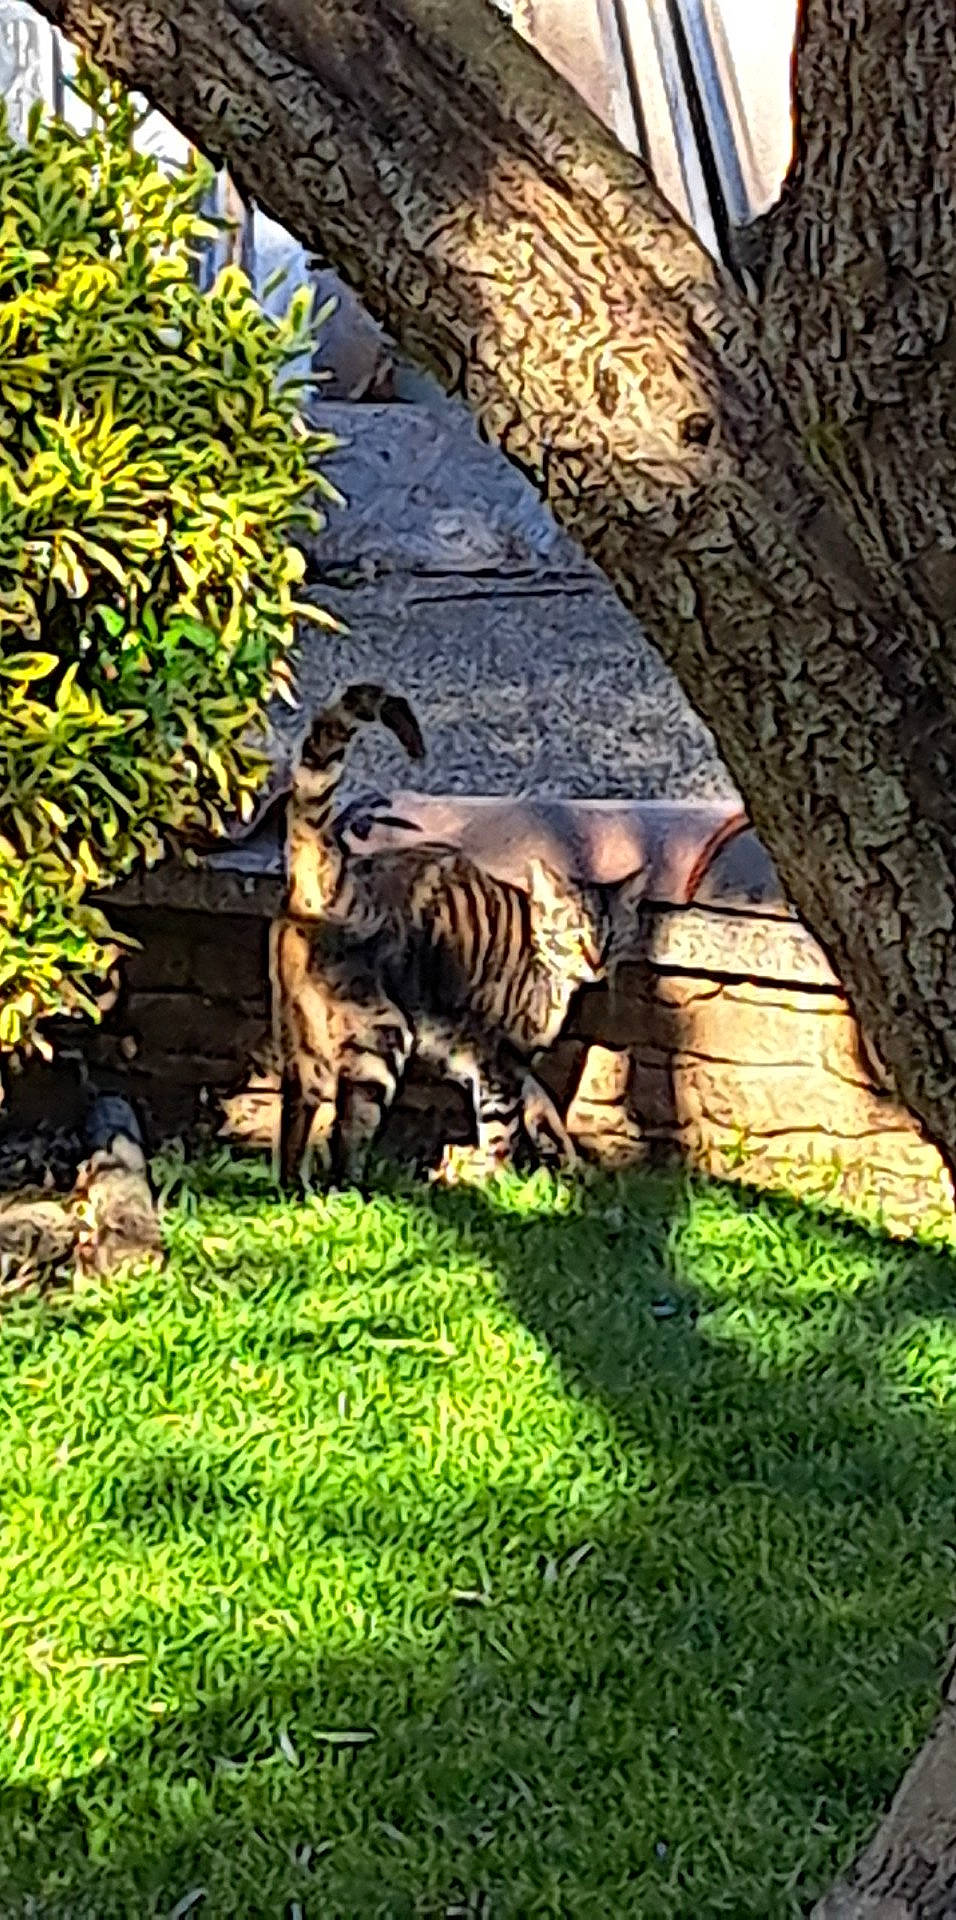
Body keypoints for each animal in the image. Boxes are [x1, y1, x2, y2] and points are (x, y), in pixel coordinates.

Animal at [270, 684, 647, 1191]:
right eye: (571, 936)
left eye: (612, 939)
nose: (595, 963)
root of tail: (325, 880)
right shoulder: (498, 1056)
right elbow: (503, 1128)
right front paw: (496, 1184)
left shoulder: (497, 1059)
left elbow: (541, 1106)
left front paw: (565, 1159)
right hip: (381, 1041)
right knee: (347, 1131)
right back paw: (360, 1188)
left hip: (306, 1047)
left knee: (296, 1122)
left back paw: (294, 1187)